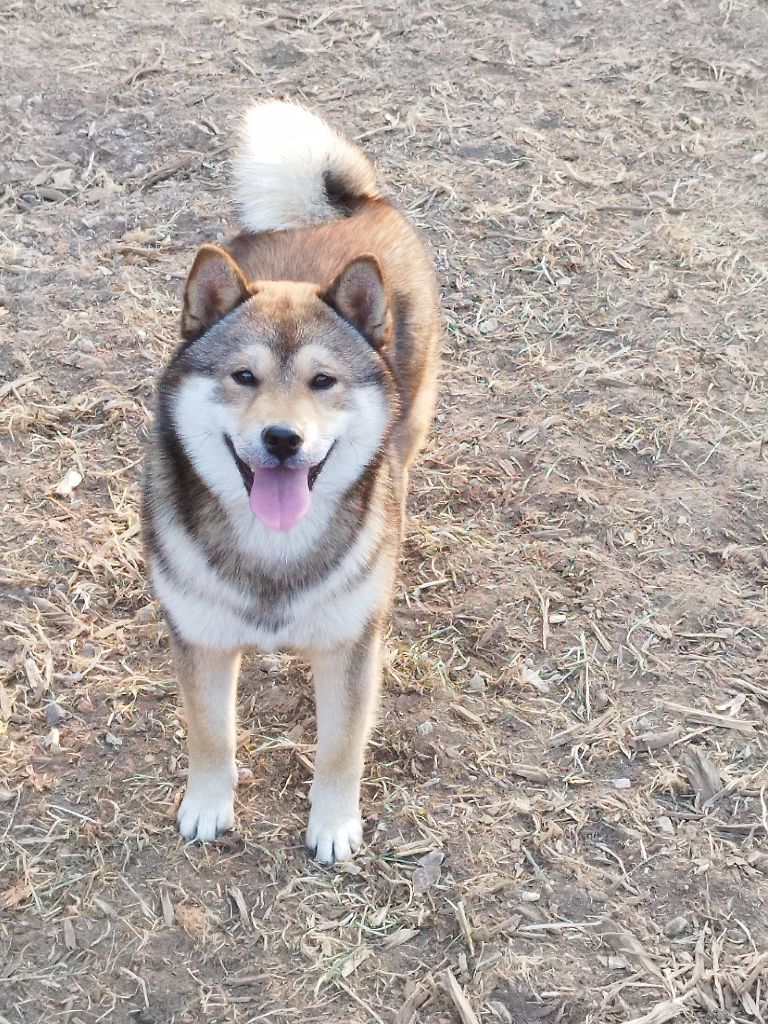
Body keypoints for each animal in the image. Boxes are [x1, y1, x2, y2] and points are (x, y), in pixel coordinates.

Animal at [142, 97, 442, 864]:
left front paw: (333, 826)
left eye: (323, 381)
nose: (283, 439)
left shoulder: (350, 647)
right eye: (243, 376)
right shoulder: (201, 640)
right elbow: (210, 732)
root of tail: (357, 204)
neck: (272, 551)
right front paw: (207, 805)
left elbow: (341, 748)